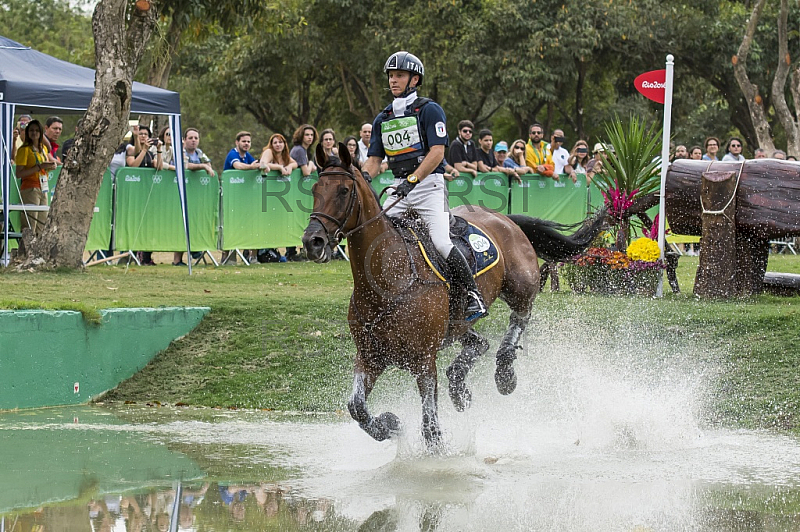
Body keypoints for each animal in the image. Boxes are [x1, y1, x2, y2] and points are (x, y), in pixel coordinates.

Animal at [304, 142, 604, 448]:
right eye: (315, 189)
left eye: (343, 191)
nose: (312, 242)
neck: (386, 282)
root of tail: (504, 217)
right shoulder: (369, 357)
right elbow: (357, 407)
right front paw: (389, 424)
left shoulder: (424, 361)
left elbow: (430, 428)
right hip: (457, 323)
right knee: (479, 342)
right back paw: (459, 387)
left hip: (520, 287)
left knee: (520, 316)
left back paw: (504, 372)